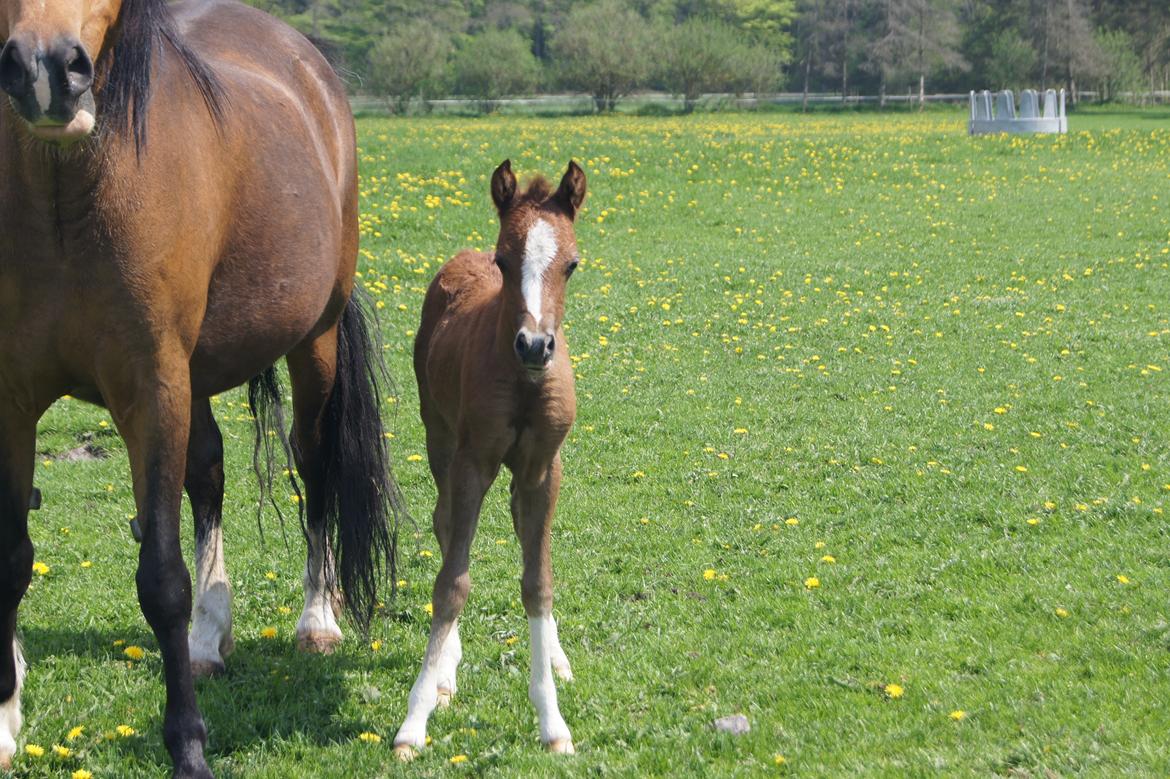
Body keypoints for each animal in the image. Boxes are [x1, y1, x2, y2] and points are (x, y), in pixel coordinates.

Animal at [393, 160, 589, 753]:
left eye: (572, 265)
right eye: (505, 260)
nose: (535, 345)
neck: (522, 381)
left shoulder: (542, 468)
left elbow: (538, 580)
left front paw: (552, 721)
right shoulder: (472, 461)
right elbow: (451, 583)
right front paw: (415, 717)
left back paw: (557, 657)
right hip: (438, 435)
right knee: (443, 521)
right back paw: (445, 671)